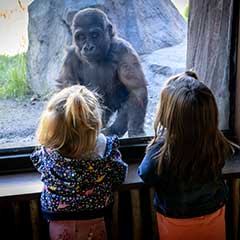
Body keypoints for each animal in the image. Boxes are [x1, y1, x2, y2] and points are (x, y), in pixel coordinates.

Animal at [57, 7, 149, 137]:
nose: (88, 47)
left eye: (95, 35)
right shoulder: (70, 57)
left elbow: (136, 90)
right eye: (81, 37)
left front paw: (136, 131)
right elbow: (67, 88)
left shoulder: (124, 50)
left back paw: (114, 130)